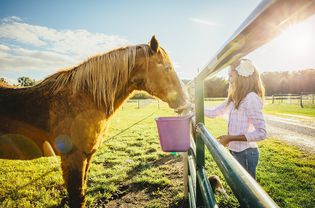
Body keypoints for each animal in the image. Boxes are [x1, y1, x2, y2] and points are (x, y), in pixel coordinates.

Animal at [0, 36, 191, 208]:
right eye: (167, 67)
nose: (185, 100)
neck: (83, 99)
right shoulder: (73, 157)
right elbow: (77, 197)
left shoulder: (87, 155)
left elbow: (82, 193)